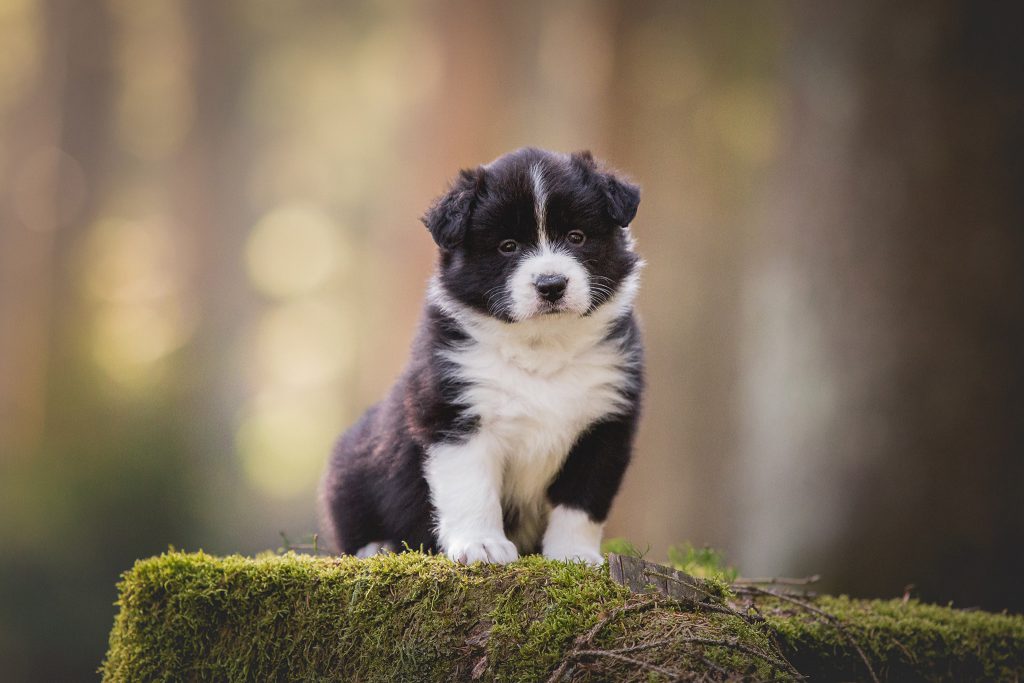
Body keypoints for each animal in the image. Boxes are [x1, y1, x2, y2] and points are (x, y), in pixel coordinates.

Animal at [319, 147, 643, 565]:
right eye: (508, 246)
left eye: (577, 237)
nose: (551, 284)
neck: (541, 345)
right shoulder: (454, 415)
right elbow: (471, 488)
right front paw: (482, 545)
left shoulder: (606, 423)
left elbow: (581, 501)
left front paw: (574, 555)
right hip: (352, 467)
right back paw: (378, 548)